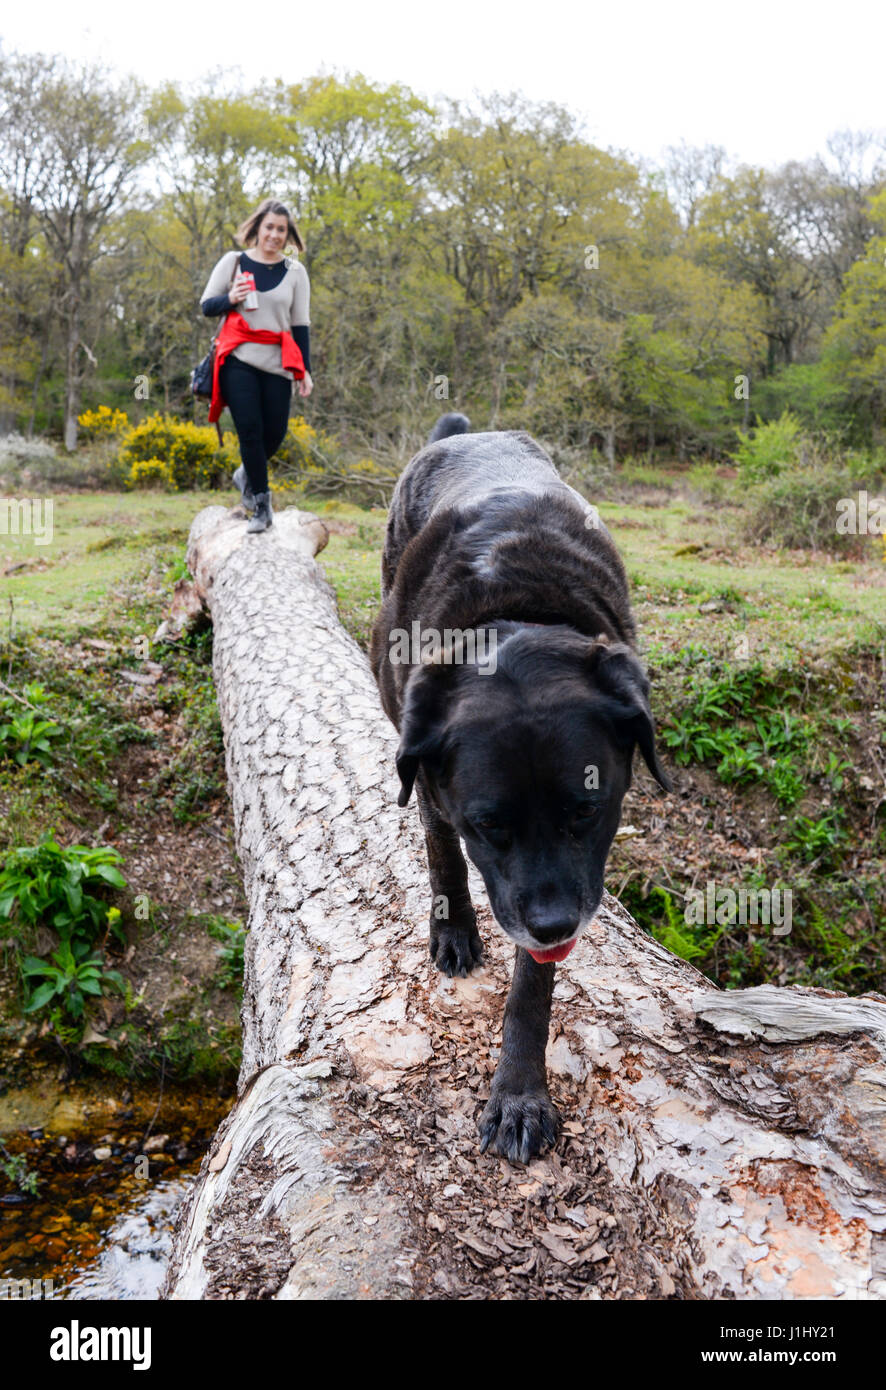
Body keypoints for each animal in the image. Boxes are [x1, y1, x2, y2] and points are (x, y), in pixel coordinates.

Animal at [367, 414, 670, 1162]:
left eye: (587, 811)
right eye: (490, 826)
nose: (554, 925)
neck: (513, 618)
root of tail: (465, 432)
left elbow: (532, 987)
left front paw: (520, 1096)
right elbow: (441, 845)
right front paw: (454, 927)